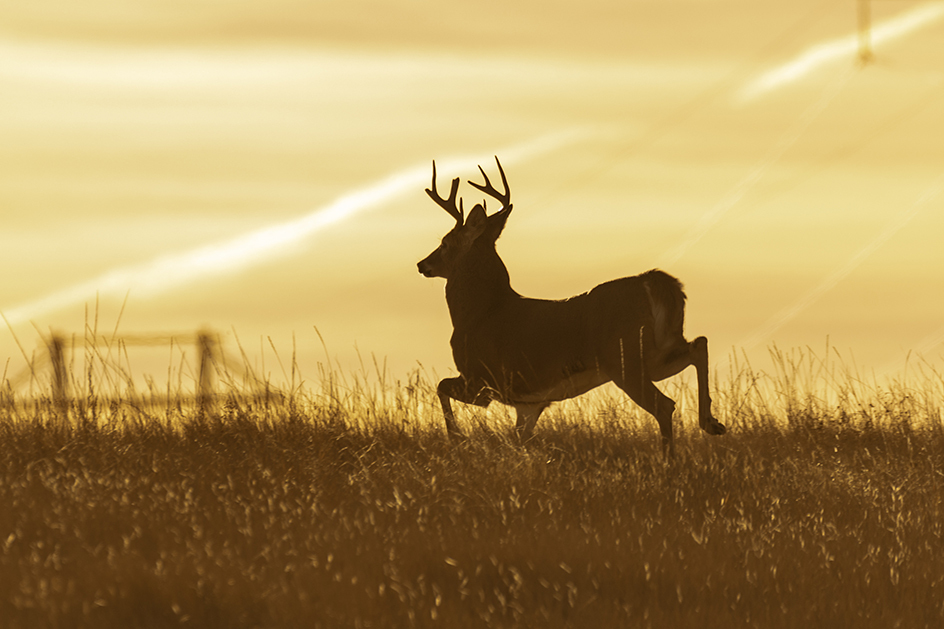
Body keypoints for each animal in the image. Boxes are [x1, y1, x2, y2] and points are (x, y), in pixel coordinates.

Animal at [416, 155, 728, 454]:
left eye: (445, 242)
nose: (422, 264)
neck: (480, 311)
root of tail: (653, 282)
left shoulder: (481, 379)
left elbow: (441, 386)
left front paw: (456, 437)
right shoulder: (529, 402)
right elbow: (520, 440)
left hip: (624, 359)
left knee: (665, 404)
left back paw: (669, 460)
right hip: (655, 354)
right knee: (698, 344)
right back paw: (712, 423)